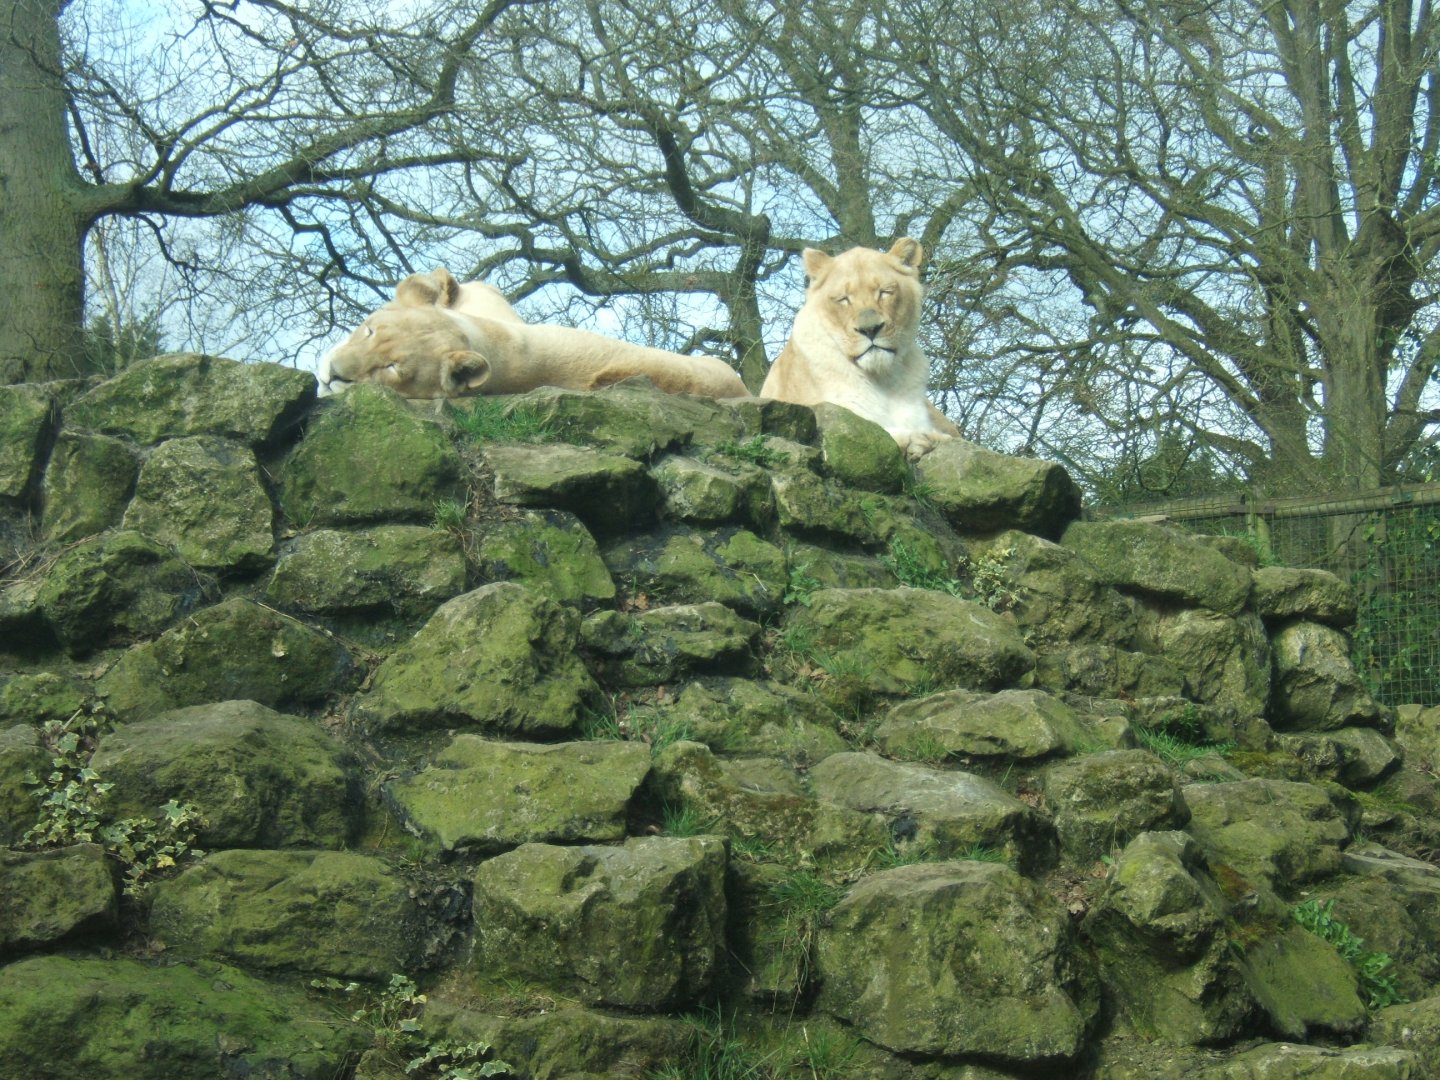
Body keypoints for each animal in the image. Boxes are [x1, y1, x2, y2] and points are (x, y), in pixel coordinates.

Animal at [760, 238, 959, 460]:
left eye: (885, 292)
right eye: (844, 299)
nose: (870, 329)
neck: (884, 379)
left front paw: (928, 439)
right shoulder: (841, 418)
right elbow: (884, 435)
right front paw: (919, 440)